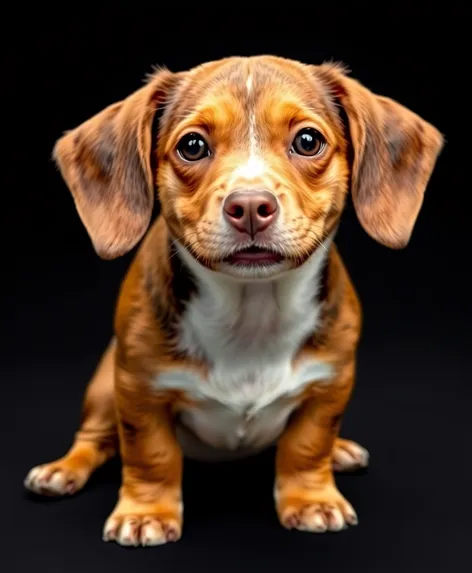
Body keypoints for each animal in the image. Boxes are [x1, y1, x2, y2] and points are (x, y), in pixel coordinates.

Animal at [24, 57, 444, 544]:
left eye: (308, 141)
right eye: (192, 146)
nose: (249, 207)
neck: (252, 308)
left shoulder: (330, 385)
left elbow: (307, 445)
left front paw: (312, 499)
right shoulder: (138, 389)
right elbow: (150, 453)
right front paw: (147, 513)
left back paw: (341, 451)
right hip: (102, 386)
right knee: (94, 438)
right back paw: (61, 471)